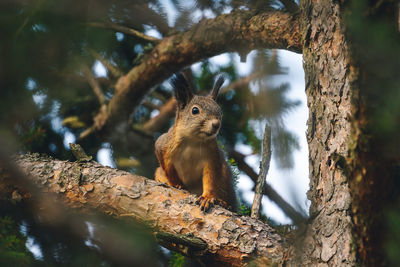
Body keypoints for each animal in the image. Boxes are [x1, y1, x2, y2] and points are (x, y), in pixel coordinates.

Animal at [155, 74, 238, 213]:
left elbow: (211, 179)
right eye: (195, 110)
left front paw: (207, 198)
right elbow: (168, 170)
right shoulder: (162, 146)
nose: (216, 125)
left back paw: (224, 203)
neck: (193, 140)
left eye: (220, 112)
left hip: (225, 175)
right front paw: (176, 184)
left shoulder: (213, 157)